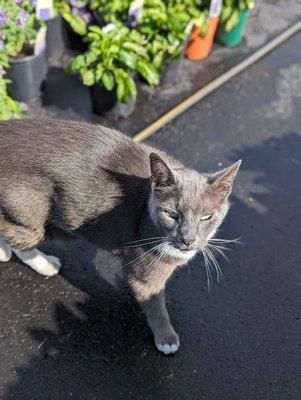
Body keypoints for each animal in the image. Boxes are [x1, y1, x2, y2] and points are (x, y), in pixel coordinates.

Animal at [0, 118, 240, 354]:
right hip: (34, 216)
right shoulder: (145, 268)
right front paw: (167, 339)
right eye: (172, 214)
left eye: (206, 216)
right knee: (18, 239)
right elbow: (154, 303)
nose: (187, 239)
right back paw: (44, 263)